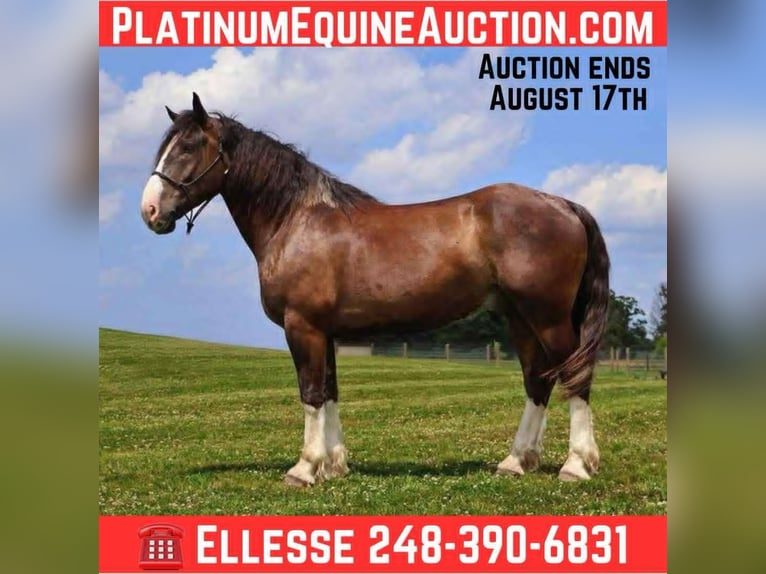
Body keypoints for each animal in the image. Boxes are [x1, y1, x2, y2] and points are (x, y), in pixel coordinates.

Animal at [139, 93, 610, 487]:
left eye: (187, 147)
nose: (150, 211)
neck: (297, 220)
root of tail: (563, 204)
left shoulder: (303, 327)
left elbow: (310, 393)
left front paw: (304, 469)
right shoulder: (324, 332)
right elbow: (329, 392)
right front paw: (333, 465)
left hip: (548, 317)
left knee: (575, 376)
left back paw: (575, 465)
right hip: (521, 318)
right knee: (538, 382)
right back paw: (516, 461)